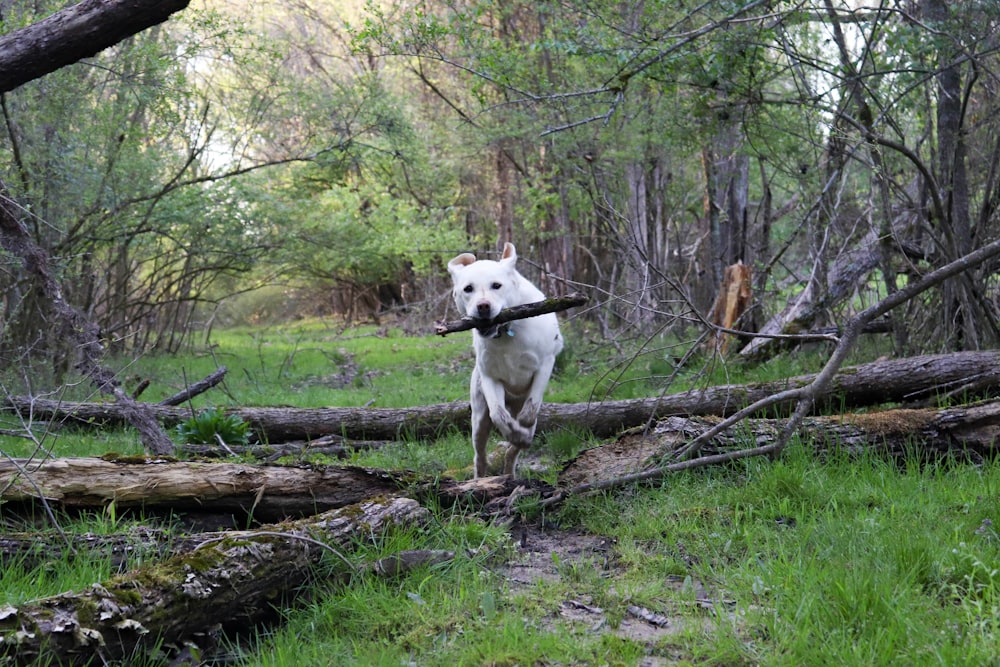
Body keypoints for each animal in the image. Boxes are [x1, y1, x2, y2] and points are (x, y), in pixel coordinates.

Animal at [448, 243, 564, 478]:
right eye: (468, 289)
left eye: (496, 285)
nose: (483, 306)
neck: (506, 330)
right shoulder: (490, 376)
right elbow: (498, 415)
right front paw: (513, 431)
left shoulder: (545, 364)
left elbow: (528, 414)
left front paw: (520, 434)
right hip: (478, 416)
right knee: (480, 455)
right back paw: (480, 479)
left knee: (513, 450)